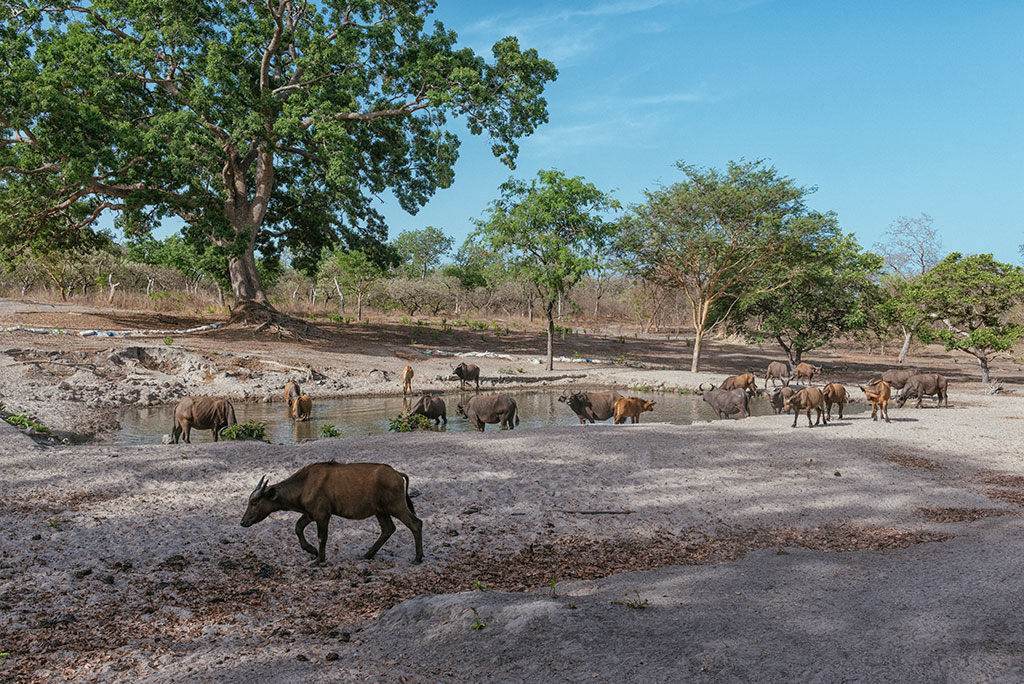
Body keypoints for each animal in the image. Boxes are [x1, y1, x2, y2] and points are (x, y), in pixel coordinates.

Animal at [241, 458, 421, 565]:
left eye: (254, 502)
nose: (243, 522)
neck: (303, 486)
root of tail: (398, 474)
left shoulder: (322, 515)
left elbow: (322, 537)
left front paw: (319, 559)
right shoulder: (310, 513)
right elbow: (298, 527)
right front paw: (311, 550)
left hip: (396, 506)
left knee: (416, 524)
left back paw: (417, 558)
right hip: (381, 511)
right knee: (388, 529)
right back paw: (367, 554)